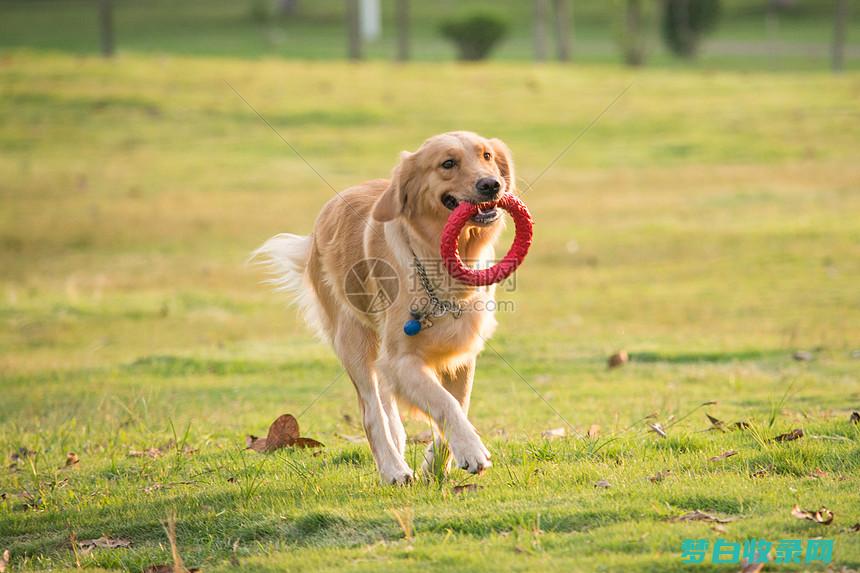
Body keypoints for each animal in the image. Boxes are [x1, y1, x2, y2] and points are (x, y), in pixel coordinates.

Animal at [252, 131, 512, 482]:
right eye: (448, 163)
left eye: (486, 156)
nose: (491, 185)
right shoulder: (401, 359)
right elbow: (444, 403)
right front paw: (471, 450)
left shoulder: (460, 354)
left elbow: (459, 403)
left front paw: (436, 464)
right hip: (353, 341)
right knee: (372, 413)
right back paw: (392, 468)